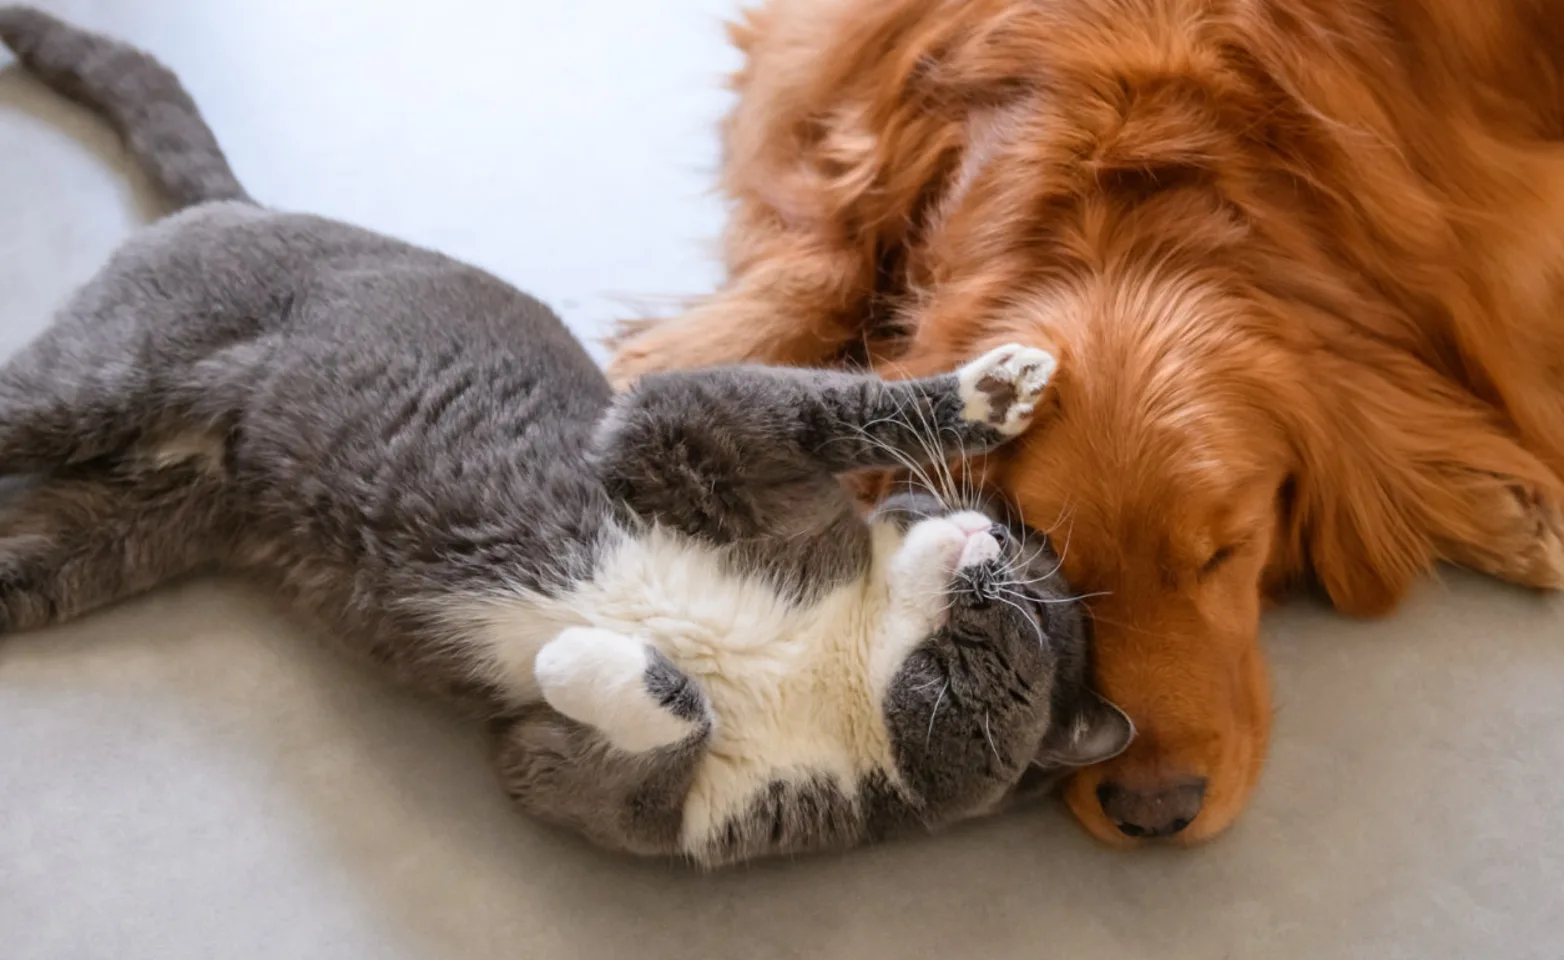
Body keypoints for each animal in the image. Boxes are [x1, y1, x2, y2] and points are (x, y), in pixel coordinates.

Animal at [0, 3, 1132, 869]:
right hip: (104, 379)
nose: (985, 540)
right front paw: (996, 387)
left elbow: (647, 734)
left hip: (103, 541)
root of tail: (242, 204)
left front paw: (585, 657)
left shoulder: (614, 793)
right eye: (1017, 545)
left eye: (1027, 612)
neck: (841, 655)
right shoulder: (680, 438)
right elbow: (802, 405)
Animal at [606, 0, 1564, 844]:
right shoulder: (826, 83)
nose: (1154, 813)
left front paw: (1499, 507)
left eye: (1226, 552)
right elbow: (818, 265)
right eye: (1056, 560)